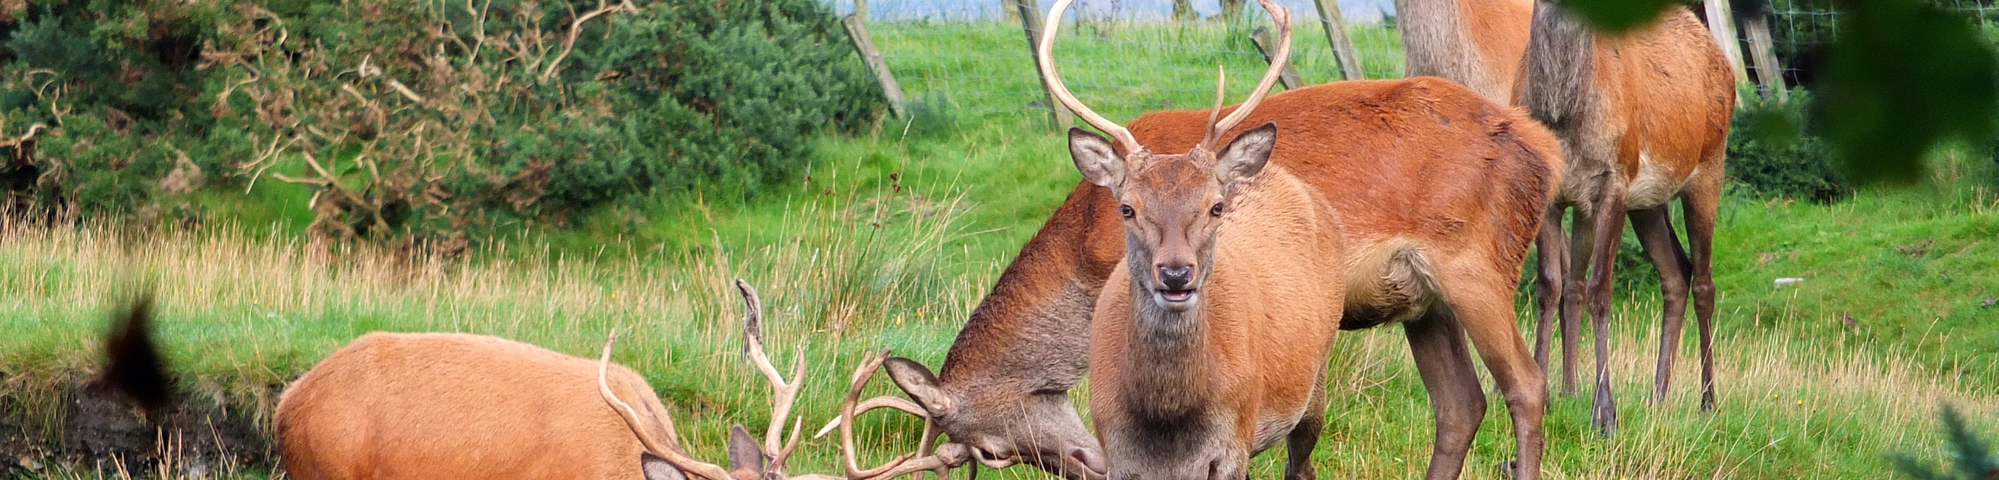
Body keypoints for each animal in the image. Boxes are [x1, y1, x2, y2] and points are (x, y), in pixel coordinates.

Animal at [1514, 0, 1735, 434]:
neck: (1565, 115)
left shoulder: (1615, 179)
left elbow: (1602, 289)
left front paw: (1605, 414)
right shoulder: (1553, 192)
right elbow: (1550, 286)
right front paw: (1545, 396)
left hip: (1708, 167)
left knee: (1705, 282)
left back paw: (1708, 400)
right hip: (1646, 203)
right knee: (1676, 273)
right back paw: (1658, 395)